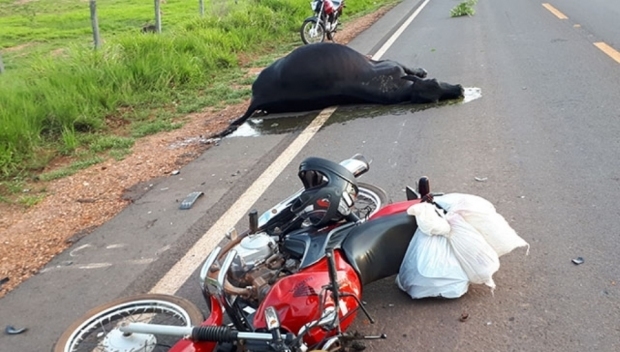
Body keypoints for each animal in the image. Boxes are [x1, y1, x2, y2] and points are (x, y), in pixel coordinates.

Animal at [225, 42, 462, 134]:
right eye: (434, 84)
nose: (459, 88)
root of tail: (257, 97)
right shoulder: (388, 62)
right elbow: (409, 67)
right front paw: (421, 70)